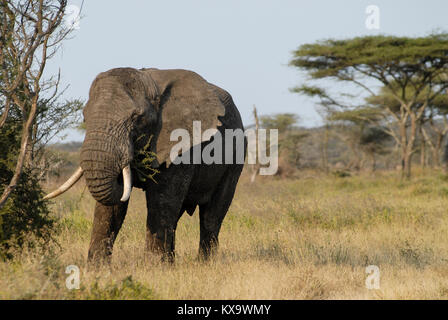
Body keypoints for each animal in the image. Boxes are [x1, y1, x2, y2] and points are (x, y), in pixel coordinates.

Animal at [45, 66, 245, 264]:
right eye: (84, 117)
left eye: (137, 117)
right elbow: (111, 209)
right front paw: (97, 268)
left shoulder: (180, 144)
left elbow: (162, 200)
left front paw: (155, 267)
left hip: (235, 159)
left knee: (211, 216)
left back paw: (205, 263)